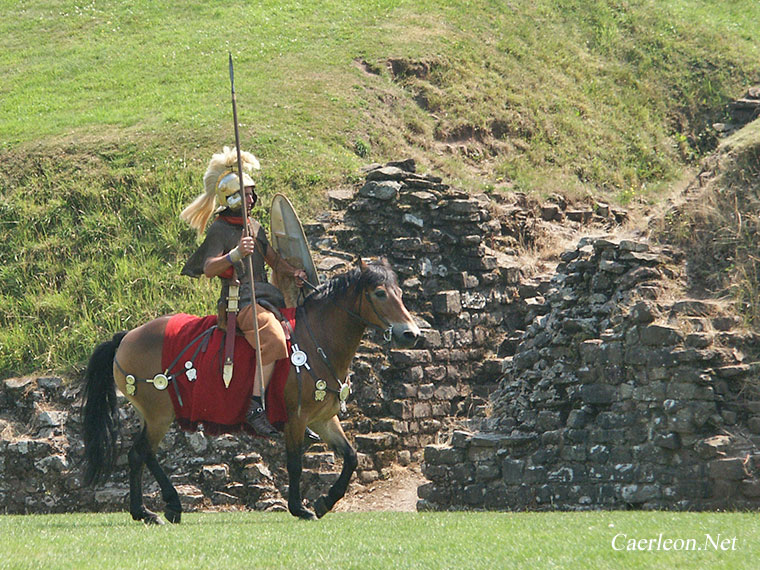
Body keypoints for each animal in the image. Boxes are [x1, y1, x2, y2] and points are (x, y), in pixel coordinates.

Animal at [81, 256, 422, 520]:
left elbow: (351, 457)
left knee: (141, 454)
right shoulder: (296, 419)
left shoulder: (323, 419)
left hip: (156, 416)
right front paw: (299, 508)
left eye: (400, 292)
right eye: (380, 293)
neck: (317, 340)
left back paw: (158, 508)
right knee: (140, 452)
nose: (411, 334)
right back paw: (150, 509)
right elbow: (295, 463)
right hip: (159, 416)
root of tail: (125, 337)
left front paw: (325, 501)